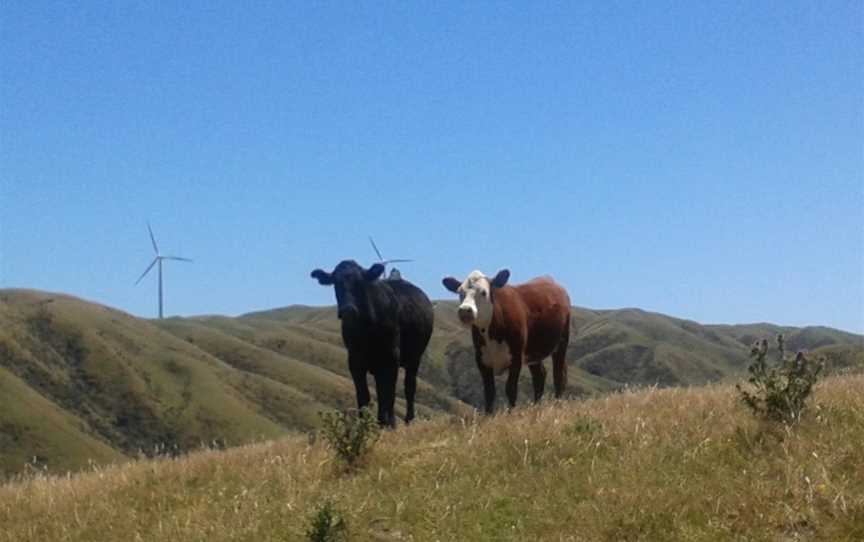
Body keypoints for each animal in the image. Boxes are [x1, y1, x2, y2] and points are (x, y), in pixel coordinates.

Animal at [308, 262, 432, 428]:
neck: (367, 329)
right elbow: (364, 395)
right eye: (336, 283)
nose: (348, 310)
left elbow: (389, 394)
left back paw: (408, 420)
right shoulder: (355, 360)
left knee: (409, 387)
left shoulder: (391, 358)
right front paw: (365, 426)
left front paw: (389, 425)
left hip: (414, 358)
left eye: (360, 283)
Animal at [442, 270, 572, 414]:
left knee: (559, 375)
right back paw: (536, 408)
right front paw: (488, 416)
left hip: (562, 342)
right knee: (539, 376)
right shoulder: (481, 359)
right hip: (534, 352)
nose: (465, 310)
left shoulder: (516, 357)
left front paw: (511, 414)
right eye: (460, 292)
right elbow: (489, 392)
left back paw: (557, 405)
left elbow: (510, 389)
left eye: (483, 292)